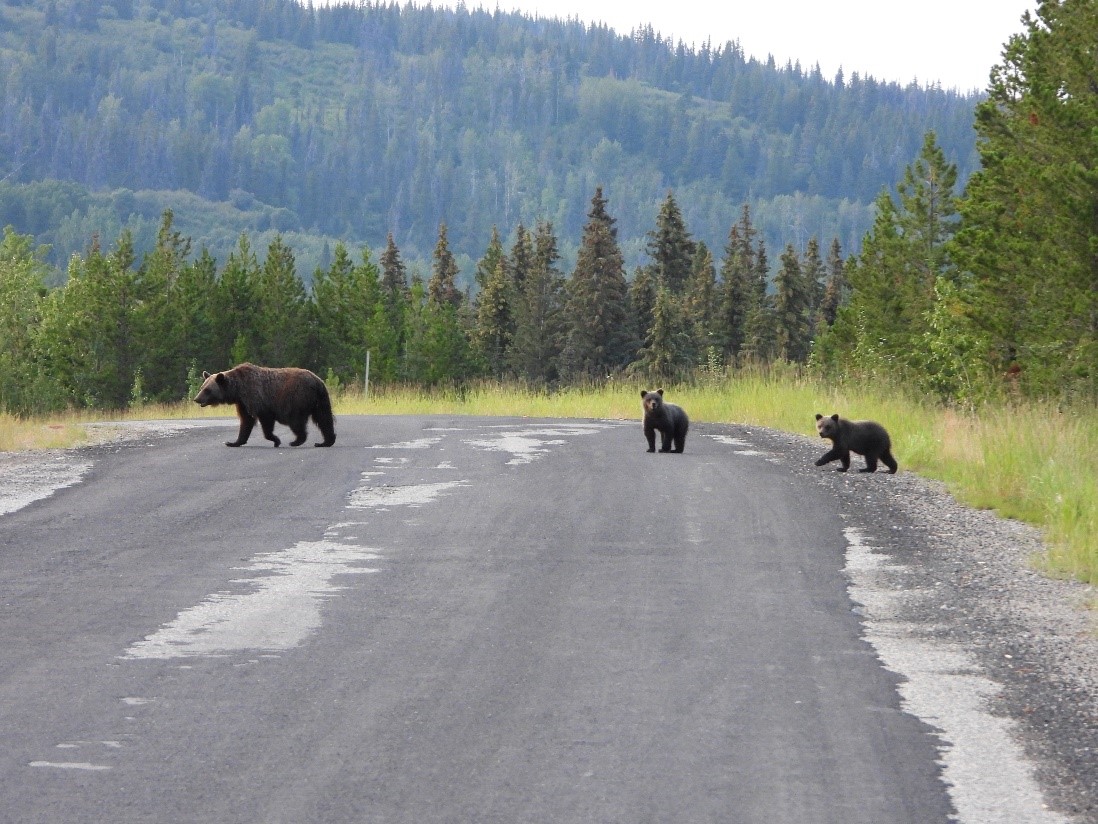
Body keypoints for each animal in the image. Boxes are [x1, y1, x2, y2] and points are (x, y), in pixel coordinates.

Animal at [193, 364, 335, 448]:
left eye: (207, 390)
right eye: (202, 387)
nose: (196, 399)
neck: (238, 390)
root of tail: (317, 381)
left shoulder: (258, 399)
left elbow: (264, 421)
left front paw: (275, 440)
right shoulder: (243, 403)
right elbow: (246, 421)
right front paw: (233, 442)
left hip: (297, 398)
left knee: (296, 421)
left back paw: (296, 441)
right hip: (320, 400)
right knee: (324, 419)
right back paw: (325, 441)